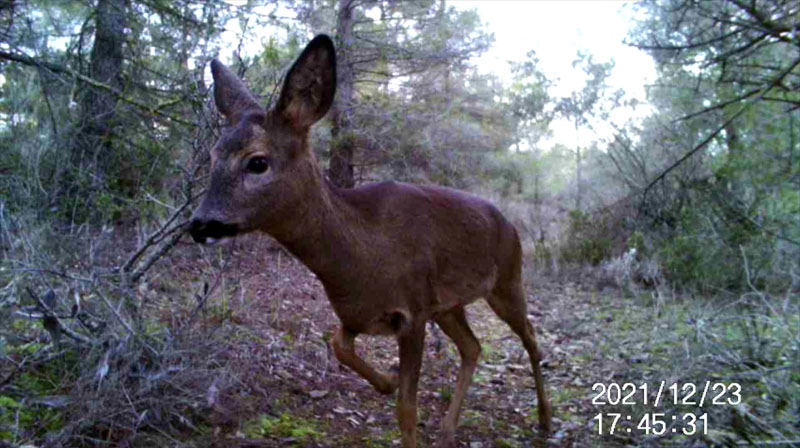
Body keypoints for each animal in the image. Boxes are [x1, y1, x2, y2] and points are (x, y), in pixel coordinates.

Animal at [189, 34, 552, 444]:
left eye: (257, 162)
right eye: (212, 155)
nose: (200, 224)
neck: (363, 255)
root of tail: (509, 223)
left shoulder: (413, 312)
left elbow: (406, 410)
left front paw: (398, 397)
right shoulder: (359, 313)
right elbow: (338, 345)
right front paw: (387, 381)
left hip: (508, 280)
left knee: (531, 338)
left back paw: (545, 419)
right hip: (449, 305)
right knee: (472, 347)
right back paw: (447, 430)